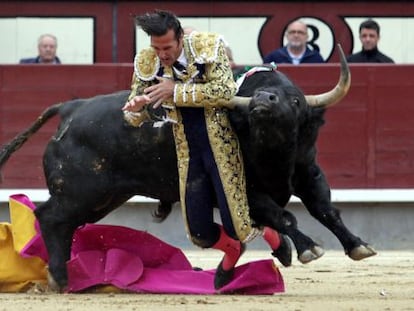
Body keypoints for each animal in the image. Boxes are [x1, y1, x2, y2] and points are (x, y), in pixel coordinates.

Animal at [0, 47, 376, 292]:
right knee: (51, 217)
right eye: (253, 97)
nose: (262, 102)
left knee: (64, 223)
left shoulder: (308, 173)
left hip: (103, 197)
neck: (272, 151)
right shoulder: (244, 190)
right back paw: (60, 279)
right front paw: (308, 248)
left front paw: (357, 245)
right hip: (83, 192)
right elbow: (284, 217)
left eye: (295, 100)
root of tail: (70, 108)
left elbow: (326, 210)